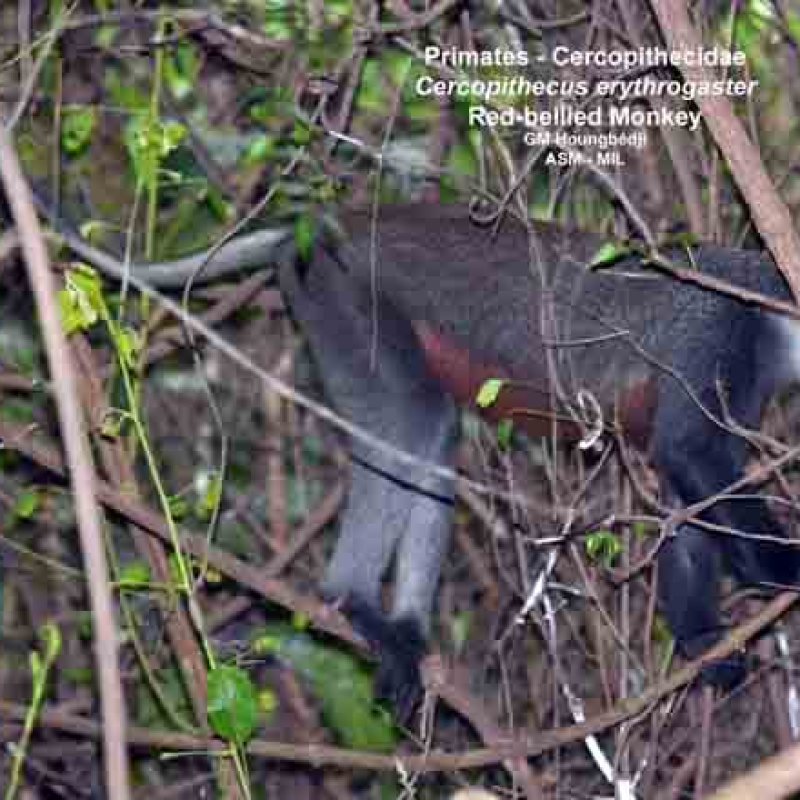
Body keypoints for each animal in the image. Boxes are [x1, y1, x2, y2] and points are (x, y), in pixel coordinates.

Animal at [34, 199, 800, 722]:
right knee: (416, 418)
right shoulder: (718, 329)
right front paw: (781, 572)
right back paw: (351, 601)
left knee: (430, 436)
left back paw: (404, 626)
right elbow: (686, 452)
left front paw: (700, 637)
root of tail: (328, 225)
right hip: (341, 297)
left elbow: (687, 496)